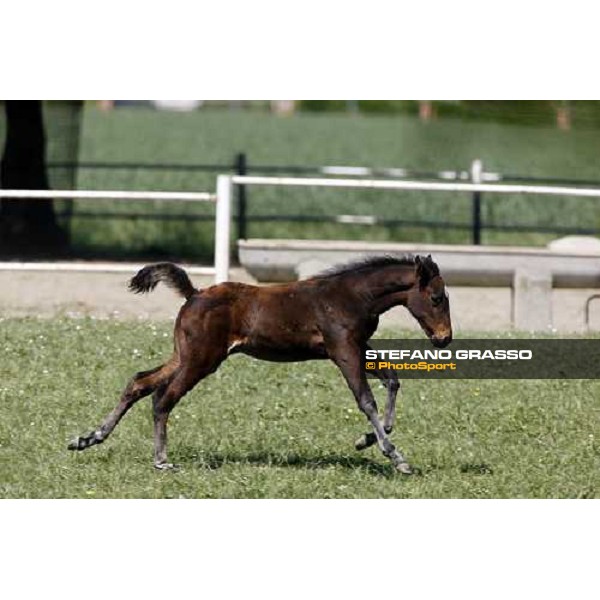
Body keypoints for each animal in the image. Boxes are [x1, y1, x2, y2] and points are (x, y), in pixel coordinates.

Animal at [69, 253, 450, 474]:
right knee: (163, 398)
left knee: (140, 382)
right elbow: (366, 399)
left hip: (185, 354)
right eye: (436, 298)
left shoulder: (357, 346)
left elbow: (393, 379)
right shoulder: (343, 350)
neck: (352, 296)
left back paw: (89, 438)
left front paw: (369, 439)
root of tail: (195, 293)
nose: (444, 338)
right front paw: (394, 455)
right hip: (201, 359)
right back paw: (161, 459)